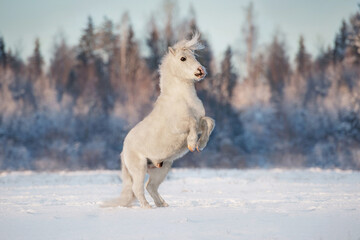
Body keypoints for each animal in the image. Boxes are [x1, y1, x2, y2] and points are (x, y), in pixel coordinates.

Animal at [105, 32, 217, 208]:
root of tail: (124, 150)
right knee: (138, 188)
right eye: (183, 58)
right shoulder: (179, 126)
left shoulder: (200, 121)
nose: (201, 71)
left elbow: (209, 122)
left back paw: (163, 205)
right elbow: (191, 123)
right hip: (139, 168)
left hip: (162, 168)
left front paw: (201, 144)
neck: (182, 99)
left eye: (194, 56)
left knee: (150, 186)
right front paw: (192, 144)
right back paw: (147, 207)